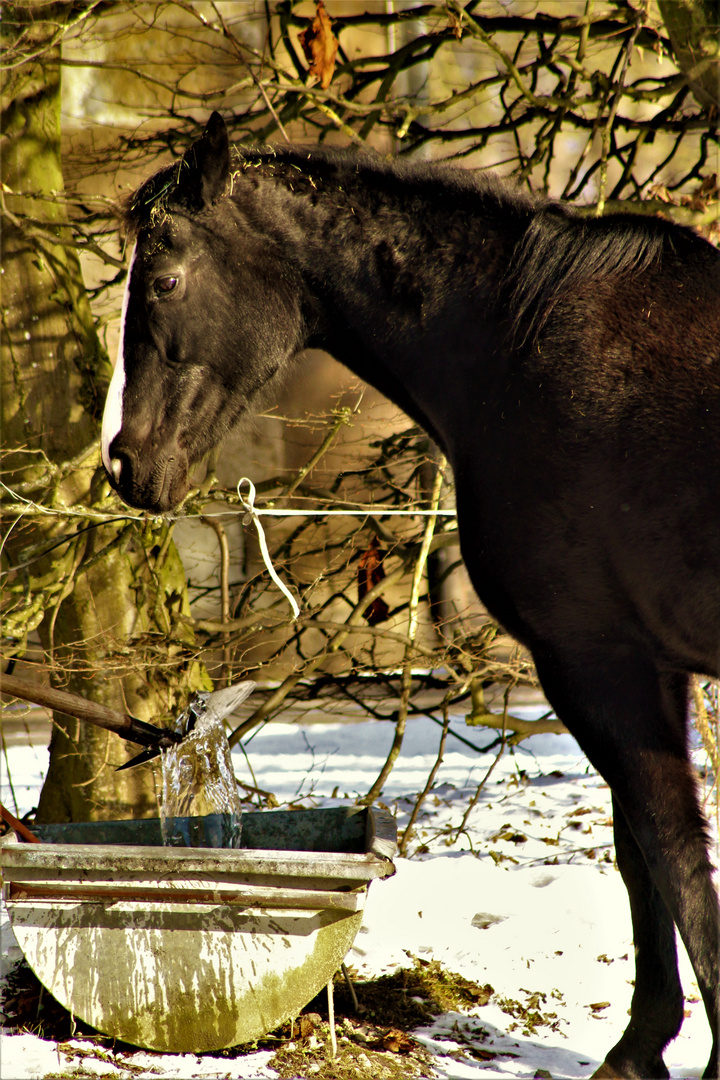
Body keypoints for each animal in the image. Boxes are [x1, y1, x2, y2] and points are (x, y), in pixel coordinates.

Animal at [102, 113, 720, 1075]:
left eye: (164, 279)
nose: (124, 462)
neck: (523, 347)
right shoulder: (645, 669)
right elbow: (642, 851)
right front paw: (642, 1041)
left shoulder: (598, 660)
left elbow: (671, 852)